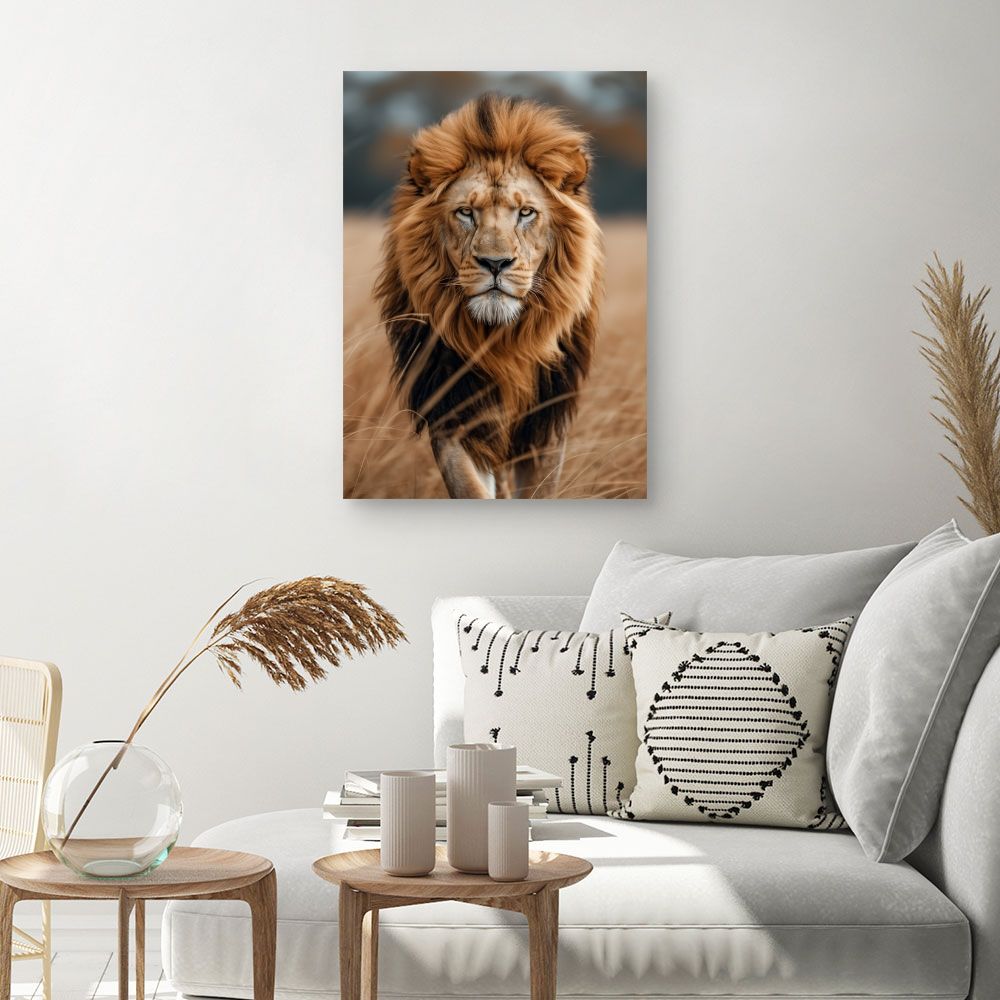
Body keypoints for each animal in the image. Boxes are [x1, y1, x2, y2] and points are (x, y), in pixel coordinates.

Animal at [374, 92, 604, 499]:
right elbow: (470, 488)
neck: (502, 343)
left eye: (526, 212)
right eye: (466, 212)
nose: (495, 263)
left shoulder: (546, 423)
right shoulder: (454, 410)